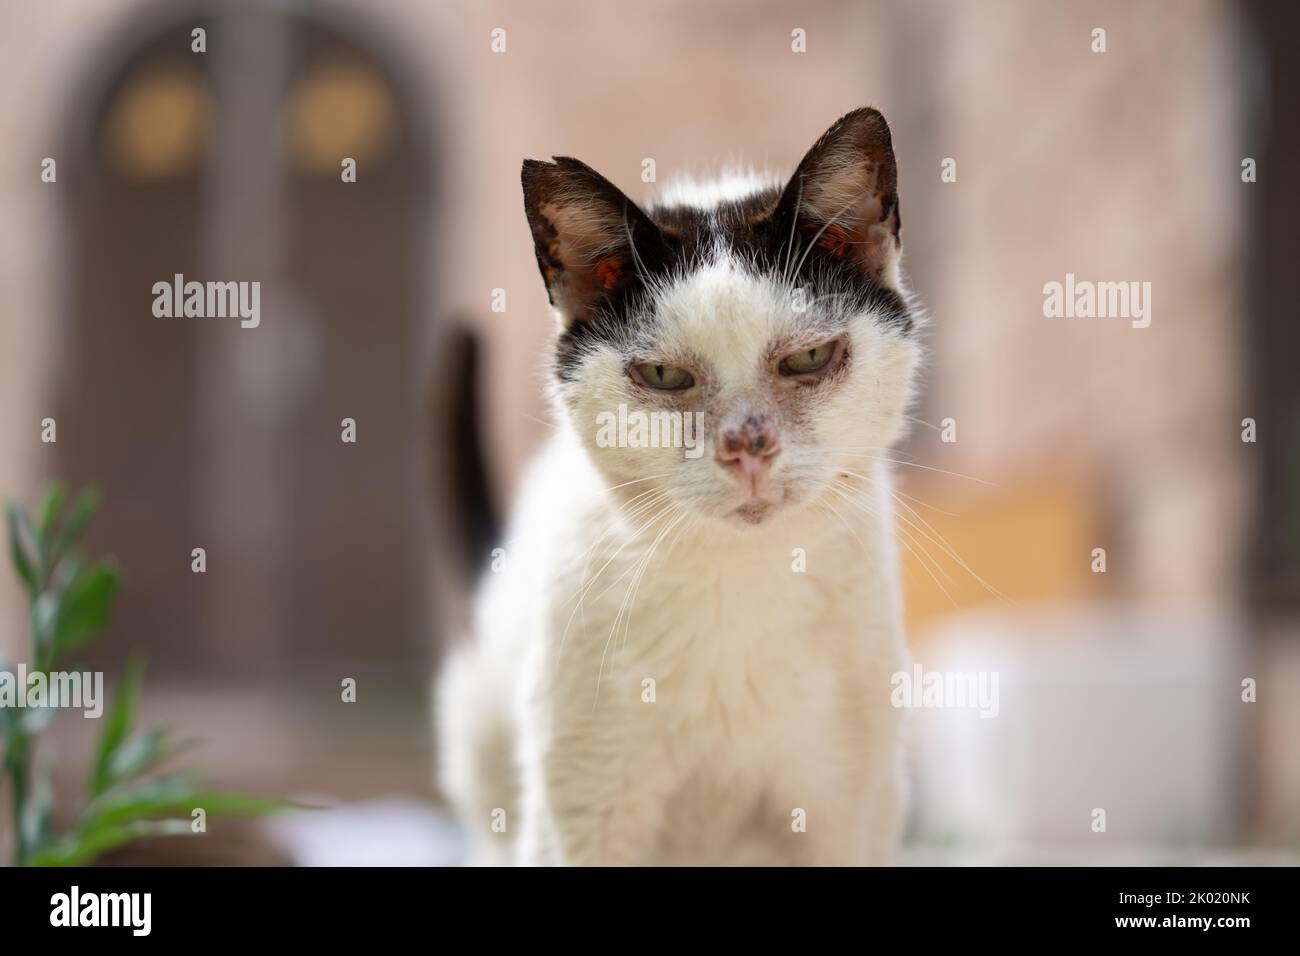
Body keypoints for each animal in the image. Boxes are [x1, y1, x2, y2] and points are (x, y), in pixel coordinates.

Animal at [439, 106, 925, 868]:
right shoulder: (584, 811)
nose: (747, 446)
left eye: (810, 357)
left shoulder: (852, 812)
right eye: (665, 376)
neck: (740, 580)